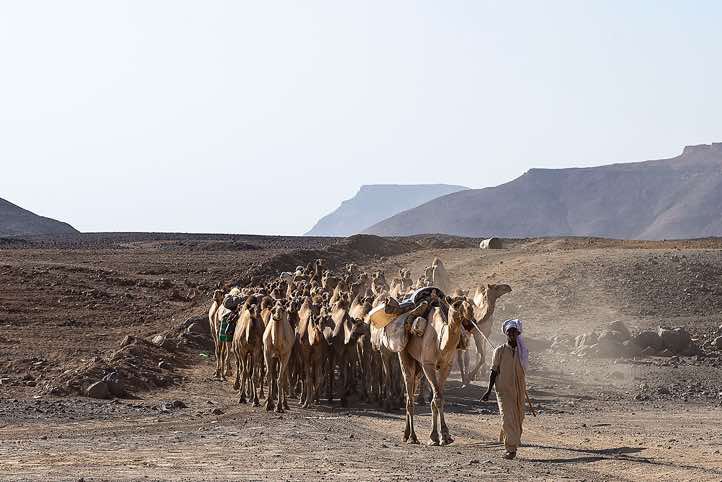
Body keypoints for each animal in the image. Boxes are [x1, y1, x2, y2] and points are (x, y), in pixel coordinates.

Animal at [398, 298, 475, 445]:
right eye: (456, 304)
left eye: (470, 304)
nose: (470, 312)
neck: (440, 342)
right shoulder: (428, 365)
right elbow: (437, 398)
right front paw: (437, 437)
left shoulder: (446, 366)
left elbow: (438, 398)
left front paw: (443, 436)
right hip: (404, 353)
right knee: (409, 389)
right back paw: (411, 437)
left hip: (419, 366)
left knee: (414, 385)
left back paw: (406, 435)